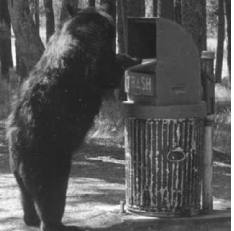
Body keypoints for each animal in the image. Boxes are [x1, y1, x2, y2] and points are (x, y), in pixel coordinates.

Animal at [6, 4, 140, 231]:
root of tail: (17, 141)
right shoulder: (90, 53)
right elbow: (102, 73)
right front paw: (127, 58)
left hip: (17, 167)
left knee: (25, 194)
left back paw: (30, 218)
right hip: (46, 156)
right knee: (49, 193)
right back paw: (55, 223)